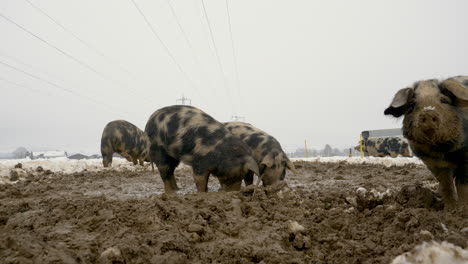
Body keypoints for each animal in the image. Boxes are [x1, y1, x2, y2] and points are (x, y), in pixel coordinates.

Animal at [384, 76, 468, 208]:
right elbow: (446, 184)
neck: (440, 151)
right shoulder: (432, 163)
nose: (428, 111)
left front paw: (463, 208)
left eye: (444, 100)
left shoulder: (465, 156)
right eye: (412, 104)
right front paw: (450, 208)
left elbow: (463, 185)